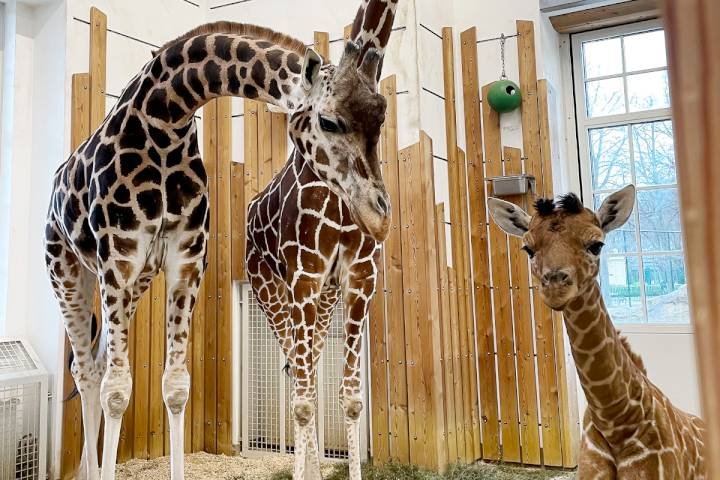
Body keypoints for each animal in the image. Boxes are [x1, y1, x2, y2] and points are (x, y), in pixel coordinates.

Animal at [44, 21, 375, 480]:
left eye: (378, 117)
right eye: (329, 121)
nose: (376, 210)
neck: (167, 118)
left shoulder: (184, 260)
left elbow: (176, 386)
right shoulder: (120, 257)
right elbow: (118, 390)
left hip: (128, 283)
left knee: (88, 364)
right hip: (67, 268)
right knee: (89, 371)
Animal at [245, 2, 398, 479]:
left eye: (382, 116)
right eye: (329, 120)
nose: (378, 218)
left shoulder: (360, 276)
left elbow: (349, 396)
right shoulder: (304, 275)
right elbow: (304, 397)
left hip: (324, 298)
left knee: (307, 366)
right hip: (270, 289)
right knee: (298, 374)